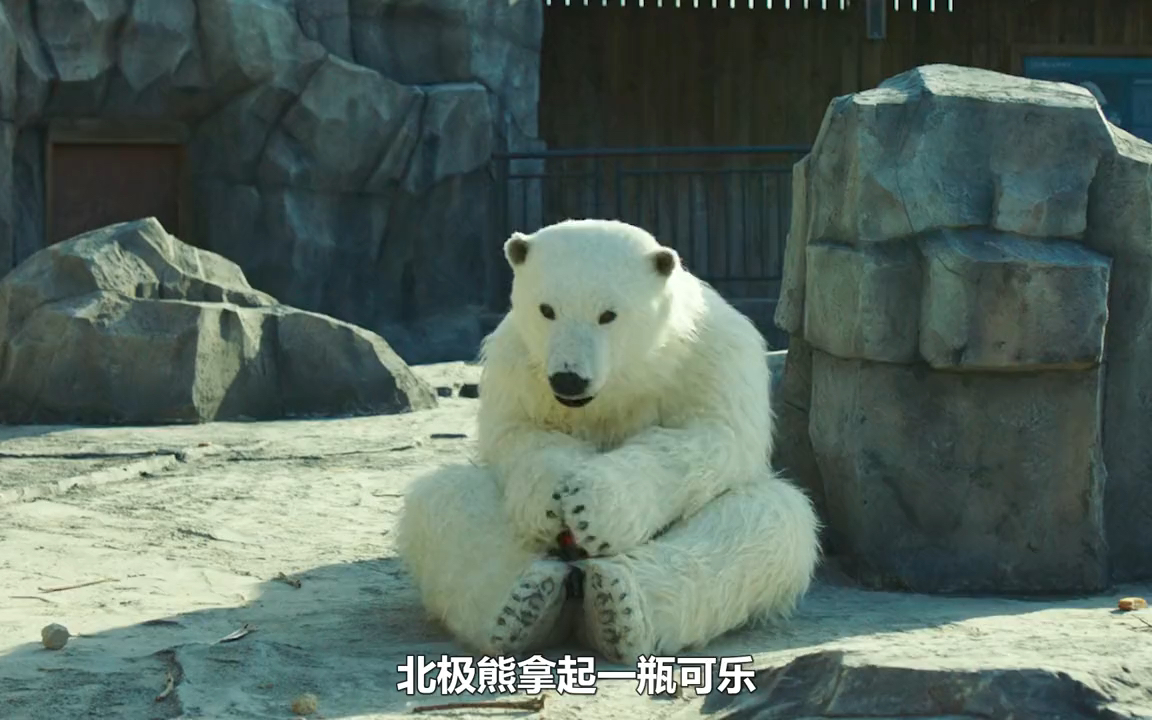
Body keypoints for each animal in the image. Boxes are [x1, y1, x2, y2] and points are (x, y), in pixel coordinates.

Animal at [395, 218, 820, 663]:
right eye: (547, 309)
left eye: (608, 315)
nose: (569, 379)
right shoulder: (520, 362)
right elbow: (517, 433)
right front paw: (554, 498)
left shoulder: (708, 355)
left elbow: (712, 438)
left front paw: (592, 508)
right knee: (443, 503)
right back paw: (525, 603)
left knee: (770, 521)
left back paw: (617, 606)